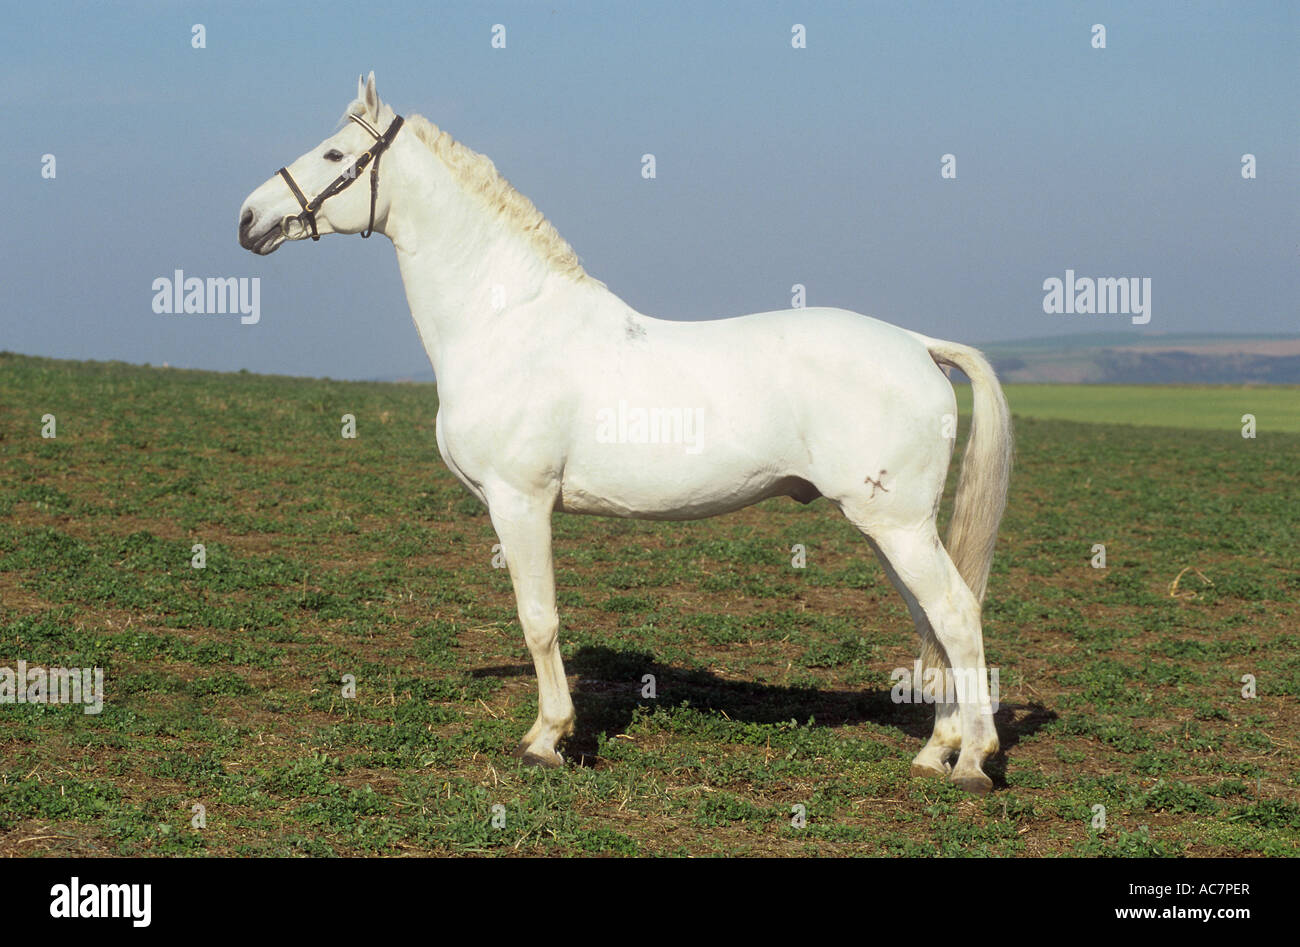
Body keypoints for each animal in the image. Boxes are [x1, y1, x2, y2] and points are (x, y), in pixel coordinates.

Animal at [241, 77, 1013, 796]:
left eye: (334, 153)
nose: (250, 217)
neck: (508, 322)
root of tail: (918, 345)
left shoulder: (520, 502)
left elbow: (539, 618)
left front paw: (547, 738)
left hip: (897, 524)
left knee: (955, 614)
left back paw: (974, 761)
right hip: (888, 525)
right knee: (934, 621)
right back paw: (935, 751)